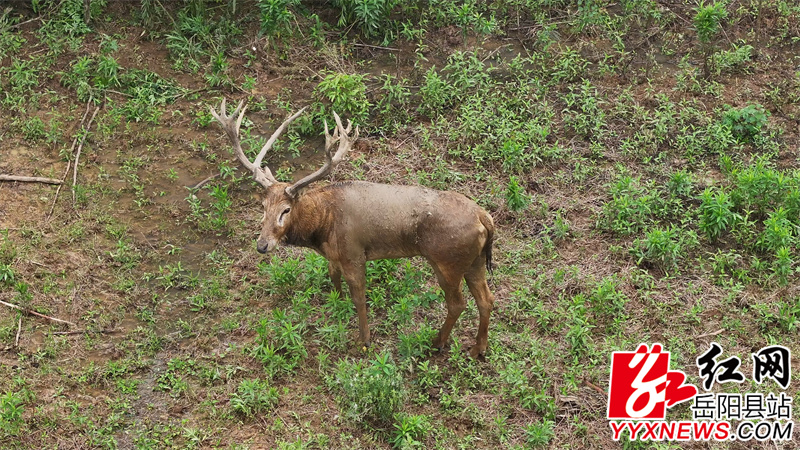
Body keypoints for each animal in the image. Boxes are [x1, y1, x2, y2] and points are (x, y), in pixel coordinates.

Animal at [210, 99, 496, 358]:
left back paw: (438, 342)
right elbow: (333, 279)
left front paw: (365, 341)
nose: (262, 245)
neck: (323, 226)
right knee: (486, 299)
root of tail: (485, 218)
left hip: (447, 260)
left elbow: (360, 299)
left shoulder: (354, 254)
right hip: (474, 260)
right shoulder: (335, 257)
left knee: (457, 303)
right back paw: (478, 348)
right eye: (263, 206)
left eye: (286, 210)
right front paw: (338, 307)